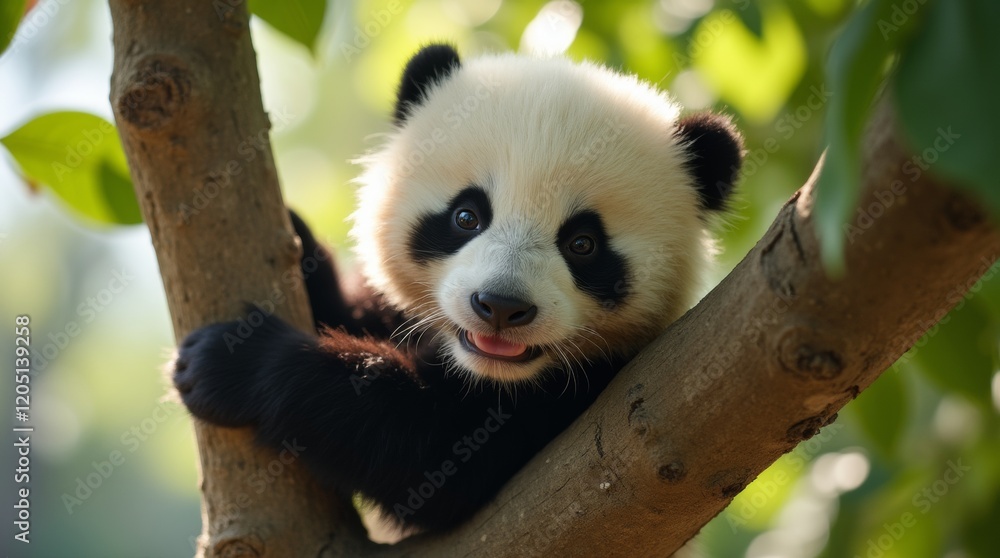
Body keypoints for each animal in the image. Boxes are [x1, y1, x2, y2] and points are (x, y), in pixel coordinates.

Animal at [172, 44, 743, 534]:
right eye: (466, 215)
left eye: (583, 243)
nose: (501, 307)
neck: (486, 372)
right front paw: (297, 240)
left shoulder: (590, 394)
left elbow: (428, 452)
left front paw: (233, 362)